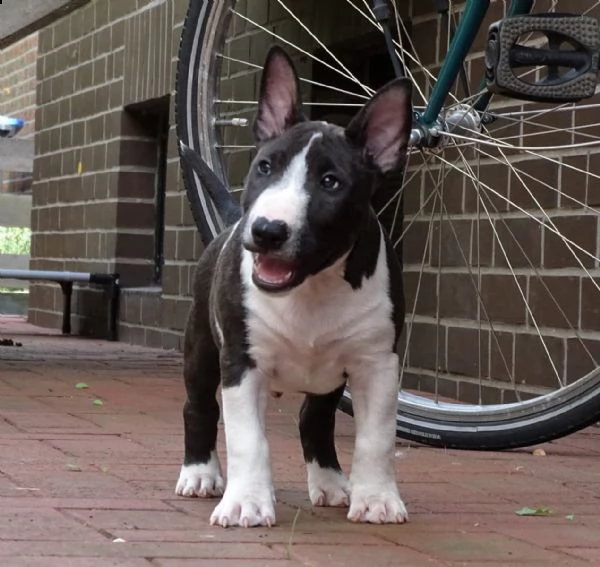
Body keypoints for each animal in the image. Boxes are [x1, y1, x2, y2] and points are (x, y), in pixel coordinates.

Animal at [175, 46, 412, 532]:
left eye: (331, 182)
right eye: (265, 167)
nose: (267, 230)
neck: (311, 289)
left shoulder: (377, 362)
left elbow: (377, 438)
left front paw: (377, 499)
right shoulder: (241, 362)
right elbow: (248, 439)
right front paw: (245, 503)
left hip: (331, 376)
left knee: (313, 417)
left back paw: (332, 483)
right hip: (201, 346)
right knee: (199, 407)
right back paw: (200, 474)